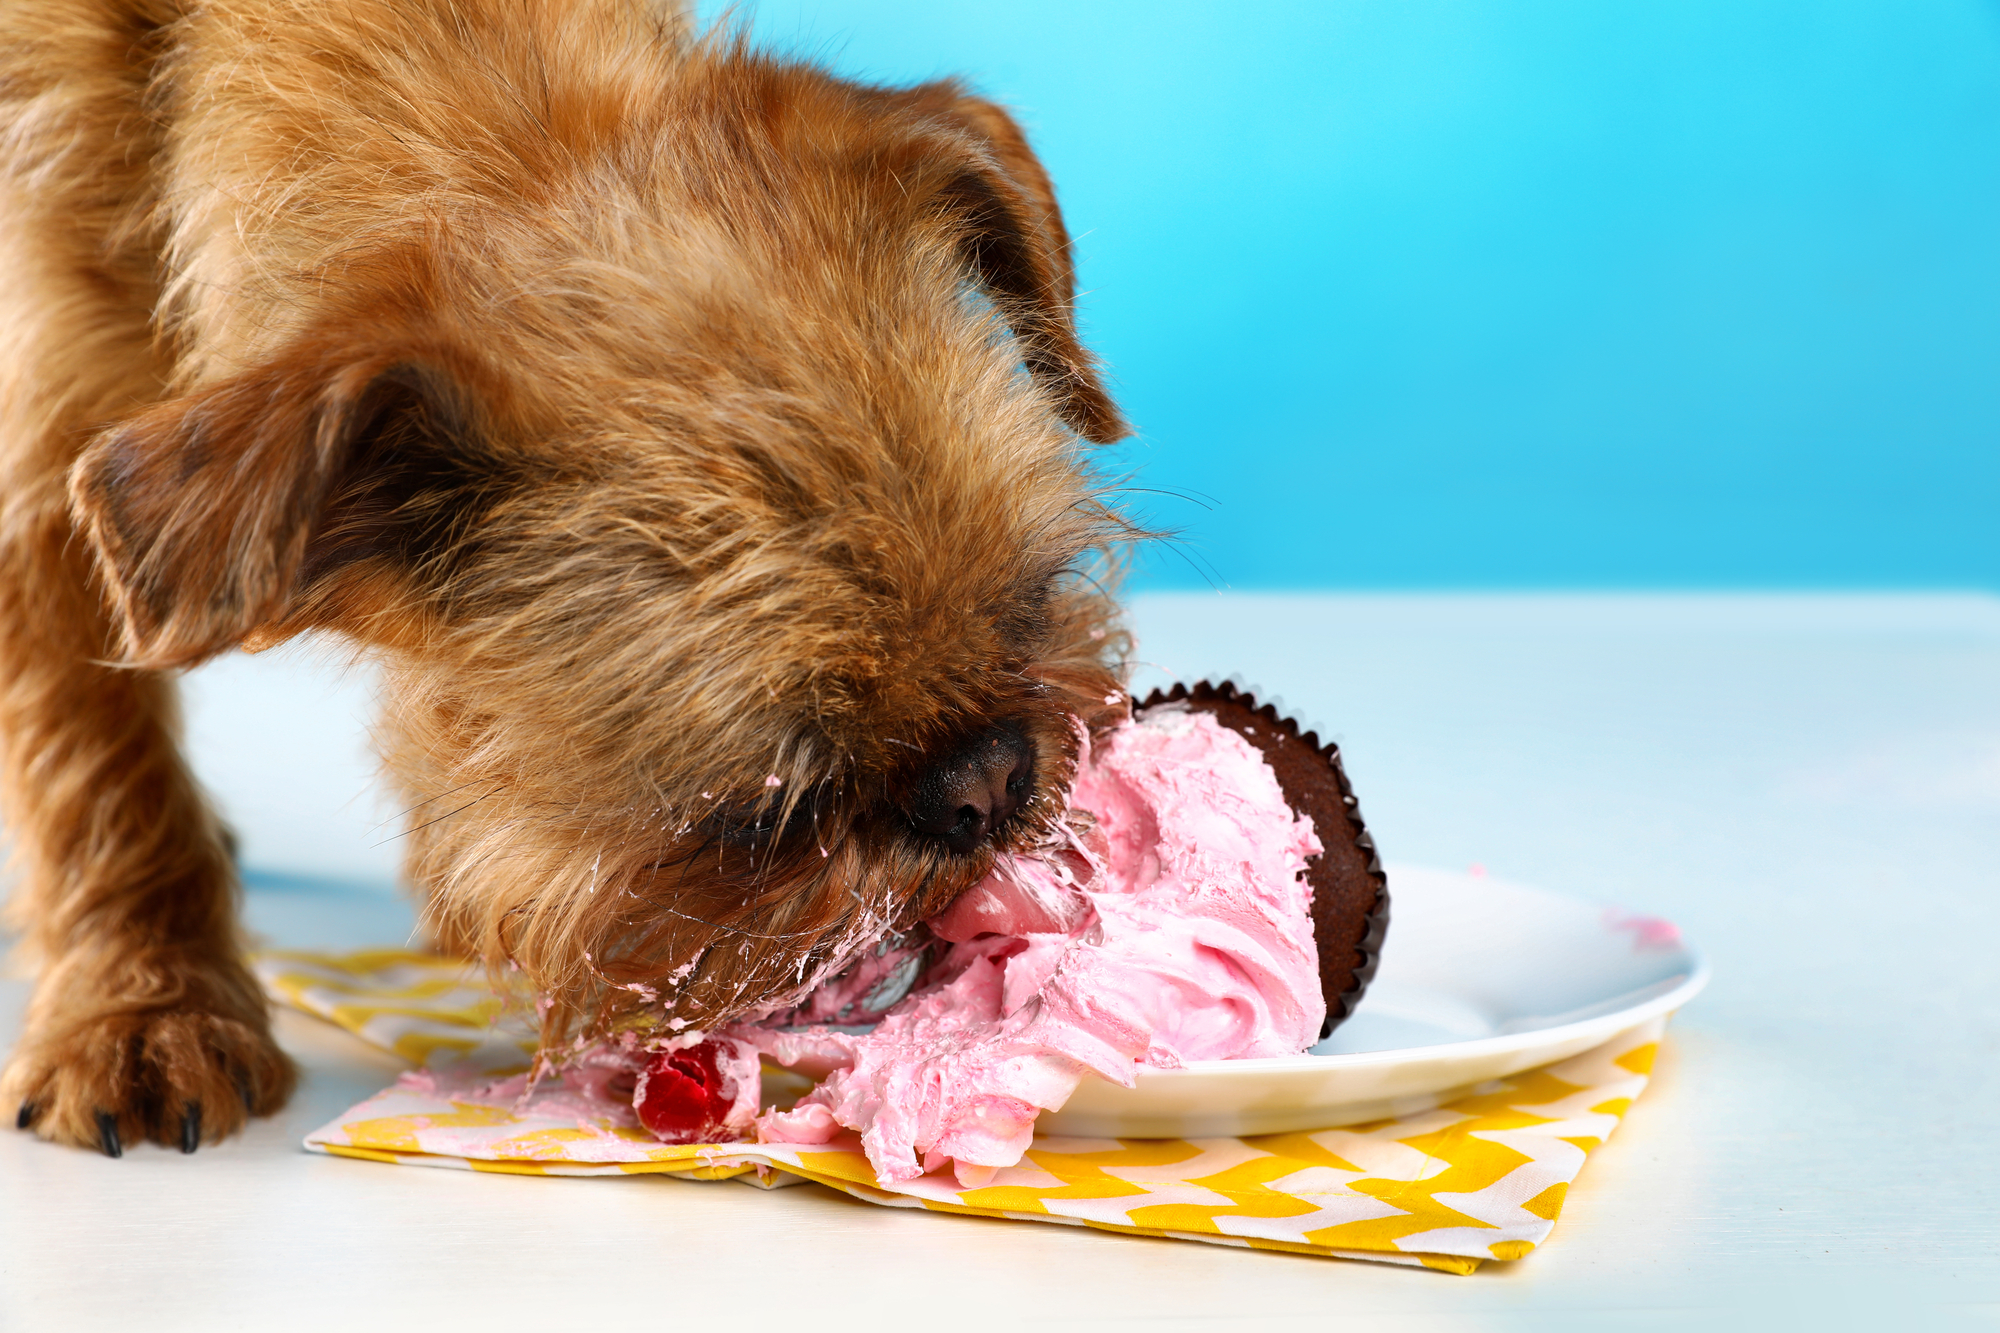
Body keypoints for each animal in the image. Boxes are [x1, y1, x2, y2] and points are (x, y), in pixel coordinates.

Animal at [0, 0, 1136, 1144]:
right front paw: (146, 1008)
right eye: (764, 815)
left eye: (1032, 607)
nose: (983, 783)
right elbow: (97, 768)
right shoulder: (37, 457)